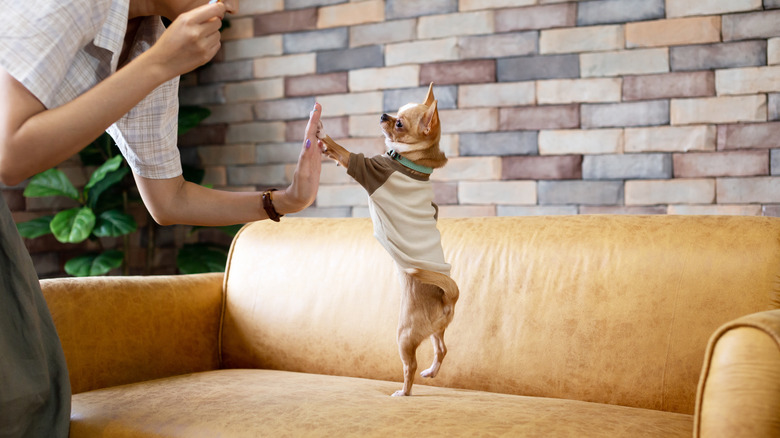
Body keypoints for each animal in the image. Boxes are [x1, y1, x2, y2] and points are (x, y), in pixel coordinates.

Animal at [320, 82, 460, 396]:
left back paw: (403, 392)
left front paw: (324, 136)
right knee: (442, 348)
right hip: (437, 330)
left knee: (410, 366)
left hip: (404, 335)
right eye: (396, 111)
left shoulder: (365, 169)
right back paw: (432, 371)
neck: (414, 162)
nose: (384, 114)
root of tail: (448, 297)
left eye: (399, 123)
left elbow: (344, 151)